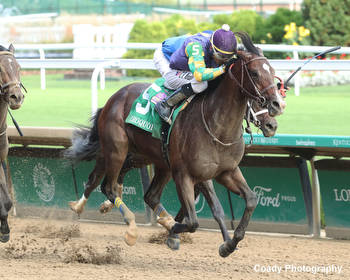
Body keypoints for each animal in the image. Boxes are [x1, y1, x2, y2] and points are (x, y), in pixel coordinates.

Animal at [65, 32, 284, 256]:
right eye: (255, 73)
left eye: (273, 72)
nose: (276, 107)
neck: (217, 127)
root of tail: (114, 98)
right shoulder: (187, 174)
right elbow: (195, 220)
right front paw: (173, 232)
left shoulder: (226, 171)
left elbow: (249, 200)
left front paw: (229, 243)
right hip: (117, 149)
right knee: (107, 185)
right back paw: (130, 225)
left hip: (148, 158)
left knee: (144, 193)